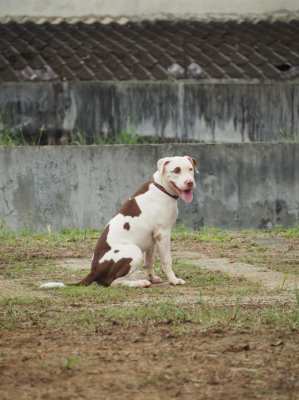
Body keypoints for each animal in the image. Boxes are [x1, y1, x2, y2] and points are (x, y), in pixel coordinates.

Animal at [41, 155, 198, 290]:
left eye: (190, 169)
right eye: (176, 170)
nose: (190, 182)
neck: (161, 188)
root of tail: (94, 270)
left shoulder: (153, 239)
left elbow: (149, 262)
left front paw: (153, 278)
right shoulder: (163, 234)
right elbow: (167, 260)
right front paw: (174, 280)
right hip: (134, 251)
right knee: (112, 281)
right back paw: (139, 283)